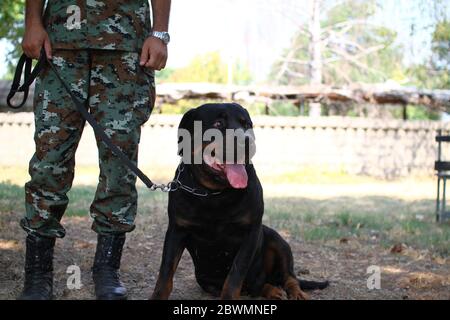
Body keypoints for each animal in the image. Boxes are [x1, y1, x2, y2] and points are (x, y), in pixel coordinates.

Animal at [151, 103, 326, 300]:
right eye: (218, 123)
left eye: (247, 125)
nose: (246, 141)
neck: (214, 193)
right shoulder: (176, 231)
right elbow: (165, 273)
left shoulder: (250, 232)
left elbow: (236, 274)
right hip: (208, 282)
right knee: (258, 286)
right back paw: (272, 290)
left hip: (277, 239)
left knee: (287, 277)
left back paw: (295, 292)